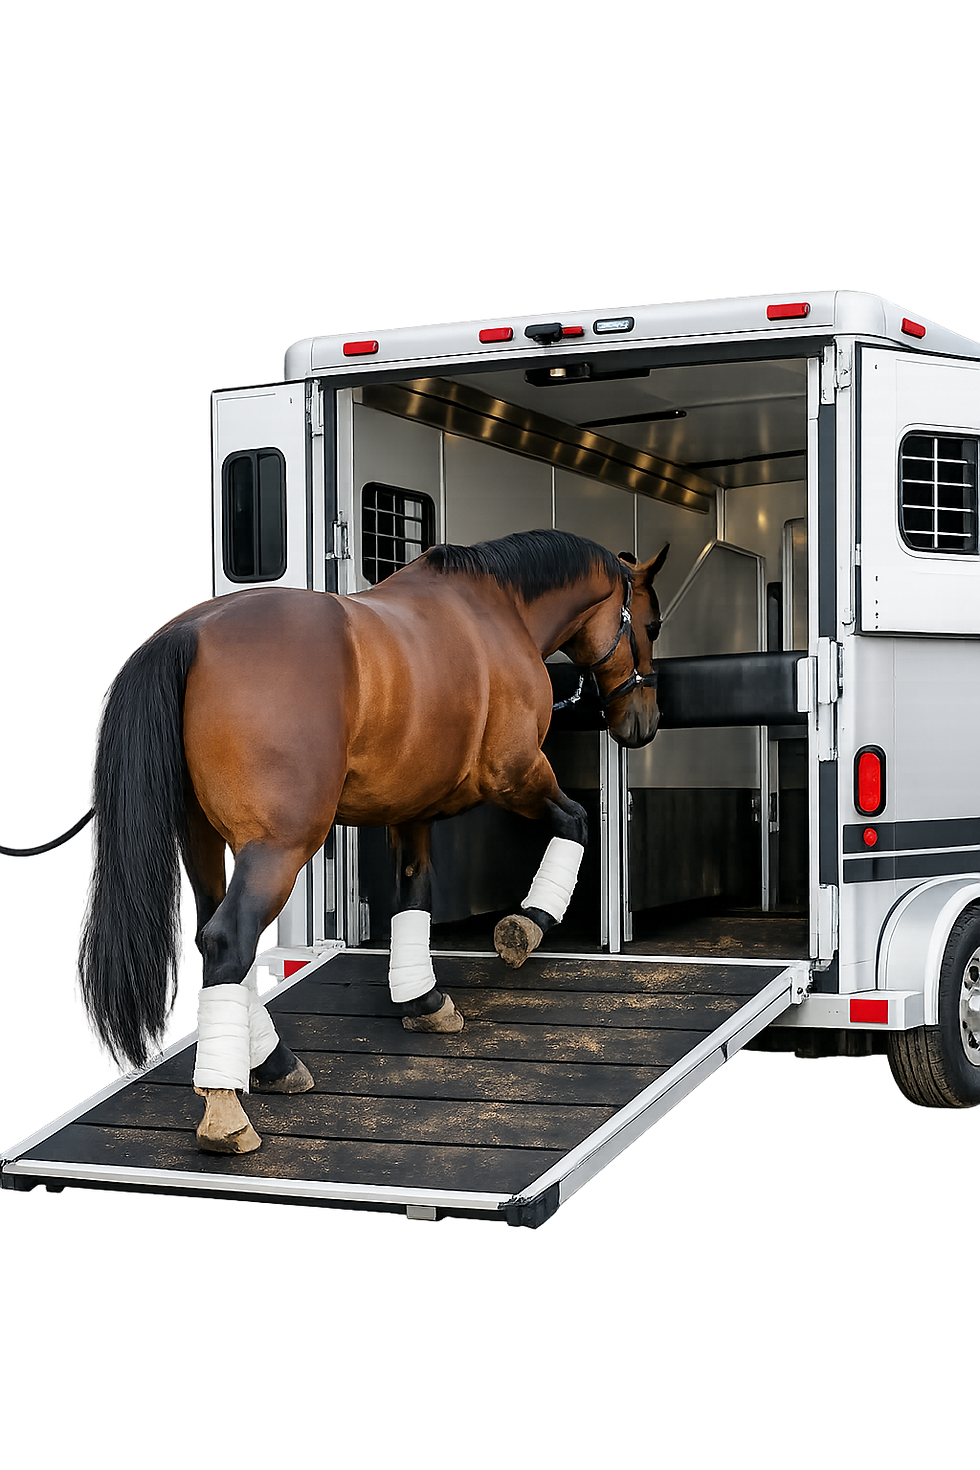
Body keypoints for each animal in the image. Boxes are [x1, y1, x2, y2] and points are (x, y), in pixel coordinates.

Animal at [6, 528, 668, 1156]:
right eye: (652, 624)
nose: (644, 724)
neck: (495, 611)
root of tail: (190, 631)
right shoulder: (517, 773)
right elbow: (575, 822)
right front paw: (525, 927)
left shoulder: (411, 810)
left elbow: (413, 895)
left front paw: (423, 1000)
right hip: (280, 847)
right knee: (230, 941)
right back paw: (228, 1112)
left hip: (203, 843)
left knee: (218, 941)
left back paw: (272, 1064)